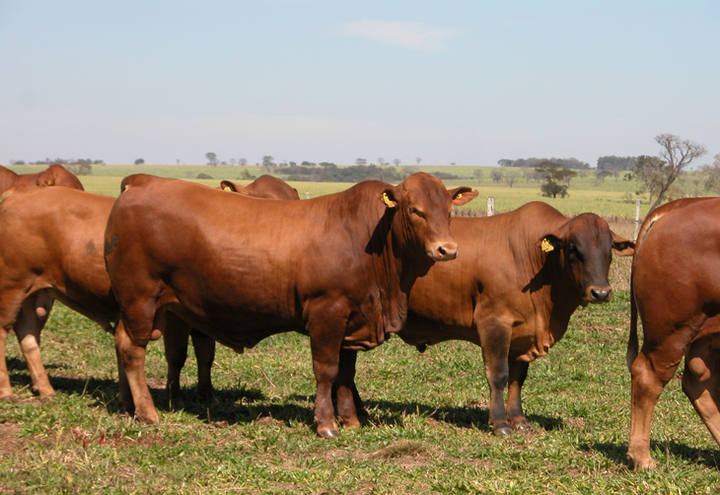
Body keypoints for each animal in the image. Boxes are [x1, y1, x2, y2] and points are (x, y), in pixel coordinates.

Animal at [105, 172, 478, 436]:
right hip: (140, 298)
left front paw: (351, 420)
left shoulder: (354, 317)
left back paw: (127, 405)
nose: (447, 249)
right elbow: (326, 370)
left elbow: (346, 373)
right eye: (415, 210)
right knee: (132, 350)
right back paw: (147, 412)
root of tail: (142, 181)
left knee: (122, 343)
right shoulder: (327, 312)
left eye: (448, 211)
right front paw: (326, 424)